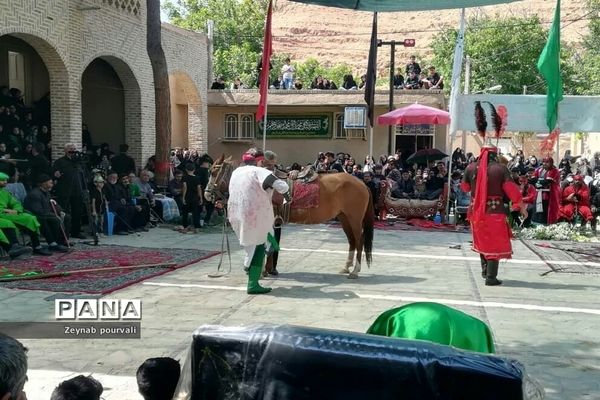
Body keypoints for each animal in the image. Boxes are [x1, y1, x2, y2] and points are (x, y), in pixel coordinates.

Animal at [206, 155, 376, 280]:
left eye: (213, 172)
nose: (208, 194)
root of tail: (361, 183)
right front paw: (267, 270)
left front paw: (261, 272)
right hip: (344, 218)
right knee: (352, 241)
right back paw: (346, 267)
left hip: (354, 219)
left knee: (359, 241)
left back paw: (355, 271)